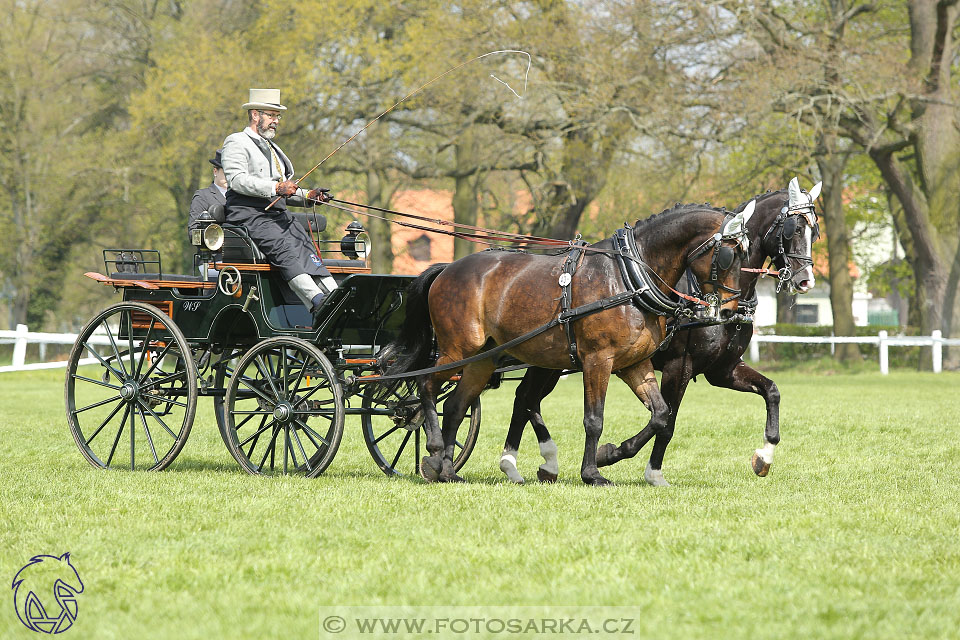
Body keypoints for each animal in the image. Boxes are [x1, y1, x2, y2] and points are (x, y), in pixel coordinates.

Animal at [378, 202, 752, 482]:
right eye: (729, 256)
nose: (729, 311)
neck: (629, 278)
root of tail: (447, 269)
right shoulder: (598, 360)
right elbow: (594, 418)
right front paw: (592, 472)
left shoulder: (633, 363)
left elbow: (661, 414)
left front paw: (611, 453)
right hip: (458, 349)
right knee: (426, 386)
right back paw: (435, 451)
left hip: (482, 358)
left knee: (457, 406)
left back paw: (447, 470)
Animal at [498, 175, 820, 484]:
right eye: (793, 229)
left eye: (814, 231)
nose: (805, 280)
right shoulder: (680, 366)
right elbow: (667, 421)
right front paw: (630, 462)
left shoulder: (722, 369)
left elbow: (771, 391)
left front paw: (764, 457)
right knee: (526, 398)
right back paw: (527, 461)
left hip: (555, 360)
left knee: (526, 399)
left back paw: (535, 464)